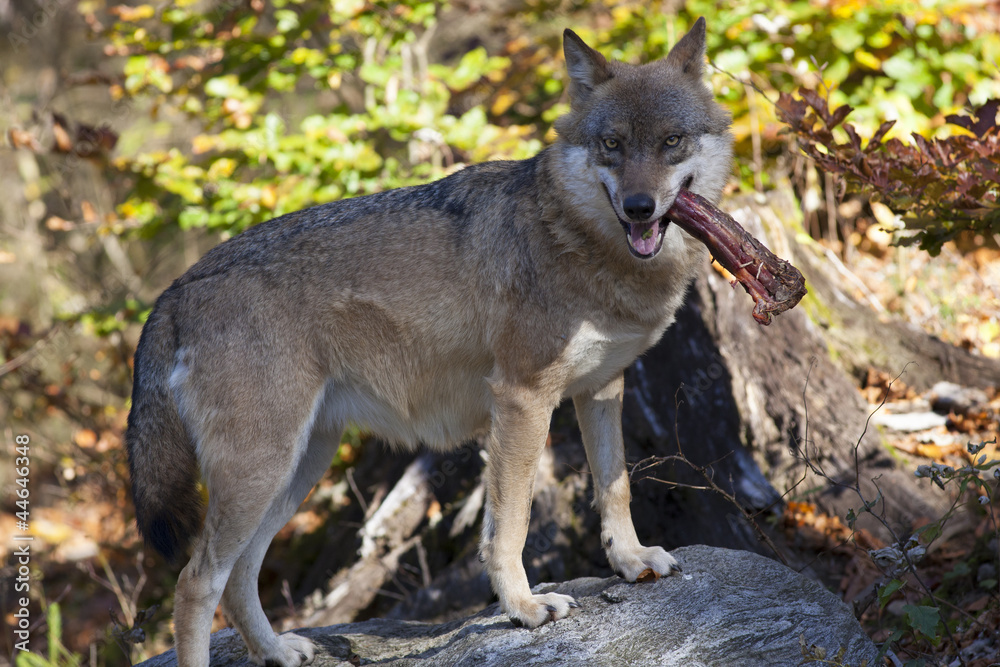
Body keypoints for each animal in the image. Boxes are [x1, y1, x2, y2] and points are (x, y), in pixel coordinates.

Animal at [126, 17, 732, 667]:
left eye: (671, 141)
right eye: (613, 145)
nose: (640, 207)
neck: (581, 243)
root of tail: (175, 290)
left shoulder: (600, 389)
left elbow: (614, 487)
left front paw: (631, 561)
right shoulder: (522, 399)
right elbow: (510, 525)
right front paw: (523, 609)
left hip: (296, 468)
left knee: (239, 576)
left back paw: (277, 651)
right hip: (262, 471)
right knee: (195, 582)